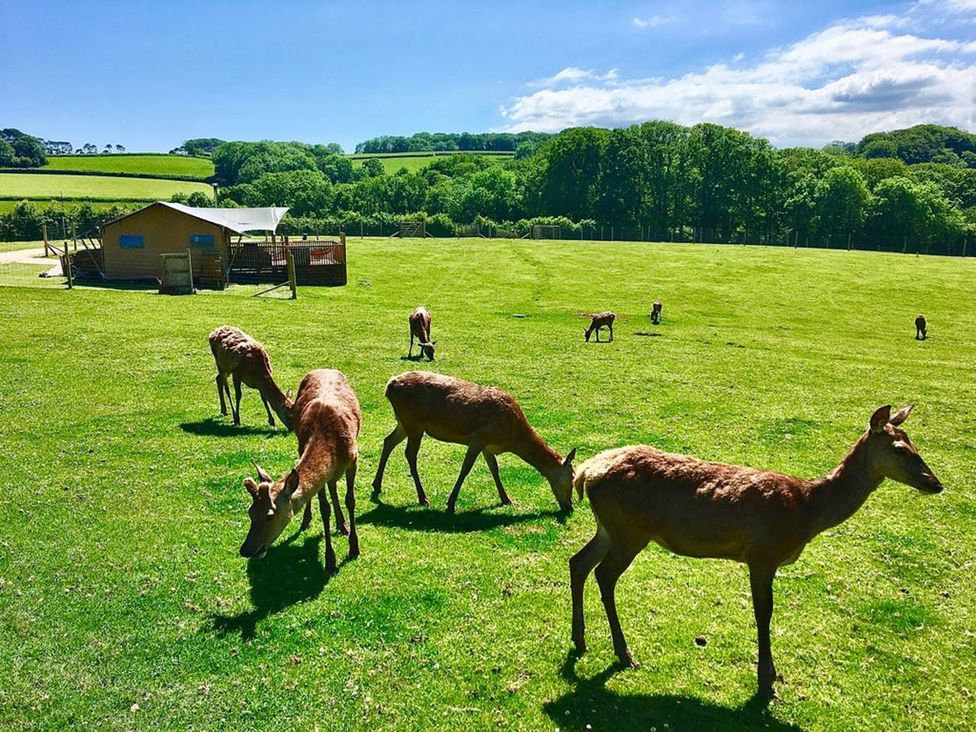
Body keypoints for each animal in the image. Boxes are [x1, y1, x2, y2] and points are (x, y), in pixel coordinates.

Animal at [239, 369, 361, 575]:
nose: (246, 550)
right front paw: (330, 561)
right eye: (250, 512)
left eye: (270, 515)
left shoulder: (354, 458)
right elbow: (324, 508)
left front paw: (354, 548)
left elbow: (350, 500)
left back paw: (343, 525)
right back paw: (308, 520)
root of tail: (324, 368)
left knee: (333, 485)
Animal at [371, 371, 577, 514]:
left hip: (403, 423)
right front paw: (450, 503)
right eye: (572, 476)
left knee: (388, 441)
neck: (512, 438)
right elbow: (466, 468)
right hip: (414, 423)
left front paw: (506, 499)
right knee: (410, 454)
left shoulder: (488, 446)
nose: (570, 507)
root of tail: (389, 385)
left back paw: (377, 486)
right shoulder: (480, 437)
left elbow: (494, 469)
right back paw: (422, 497)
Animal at [569, 404, 943, 698]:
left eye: (915, 444)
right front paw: (767, 680)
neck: (807, 511)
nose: (935, 483)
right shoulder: (762, 554)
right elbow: (764, 613)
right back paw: (623, 653)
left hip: (609, 529)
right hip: (629, 531)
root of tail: (586, 473)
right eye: (899, 449)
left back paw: (580, 639)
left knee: (578, 562)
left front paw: (771, 675)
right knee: (603, 574)